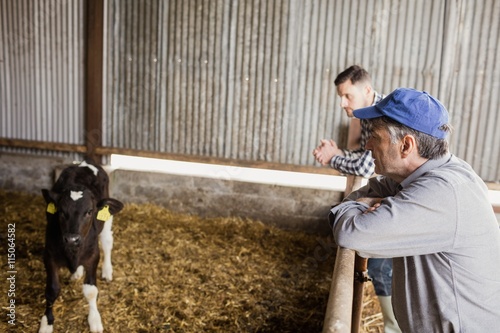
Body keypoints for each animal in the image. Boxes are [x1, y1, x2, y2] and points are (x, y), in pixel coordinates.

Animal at [37, 158, 122, 332]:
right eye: (61, 211)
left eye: (89, 211)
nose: (72, 239)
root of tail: (85, 163)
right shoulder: (49, 255)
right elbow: (52, 290)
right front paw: (47, 322)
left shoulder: (93, 255)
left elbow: (91, 291)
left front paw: (94, 320)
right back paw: (76, 272)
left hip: (107, 217)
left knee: (107, 241)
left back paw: (107, 271)